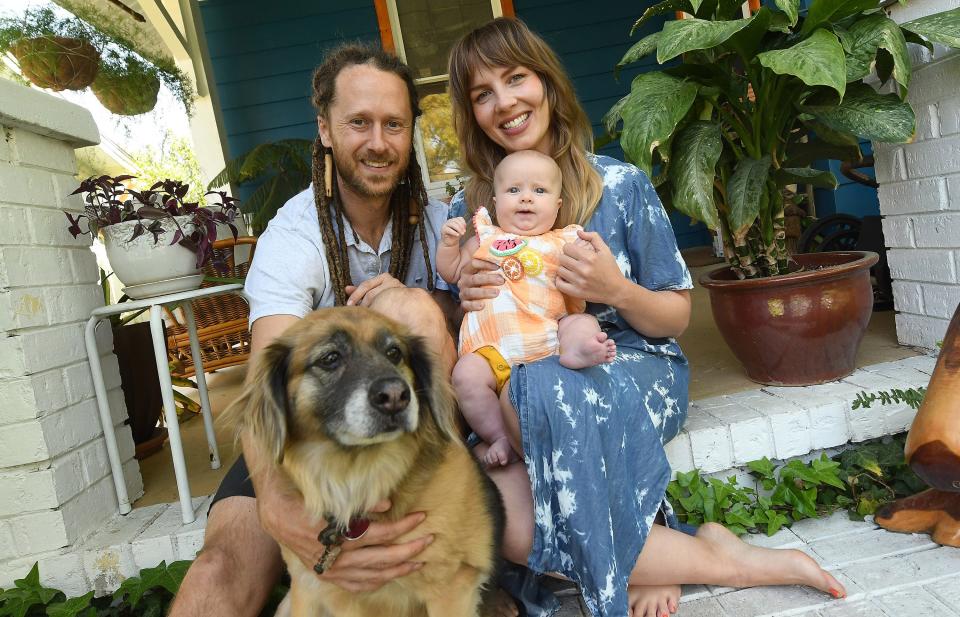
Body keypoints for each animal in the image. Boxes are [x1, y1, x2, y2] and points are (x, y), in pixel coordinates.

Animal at [226, 308, 506, 616]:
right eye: (330, 358)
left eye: (394, 353)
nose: (396, 396)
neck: (357, 477)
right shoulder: (306, 589)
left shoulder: (451, 589)